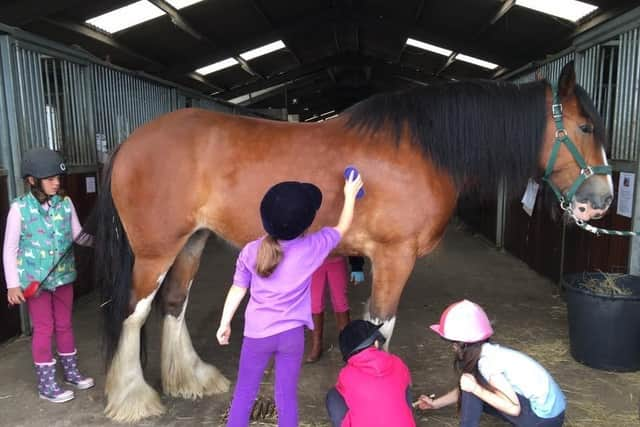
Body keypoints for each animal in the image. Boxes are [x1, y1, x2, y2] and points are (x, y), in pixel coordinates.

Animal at [92, 61, 612, 422]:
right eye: (586, 127)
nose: (601, 201)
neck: (421, 149)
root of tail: (130, 143)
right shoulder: (395, 256)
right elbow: (380, 326)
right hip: (155, 251)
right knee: (135, 313)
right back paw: (134, 399)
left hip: (192, 242)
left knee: (174, 304)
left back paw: (192, 380)